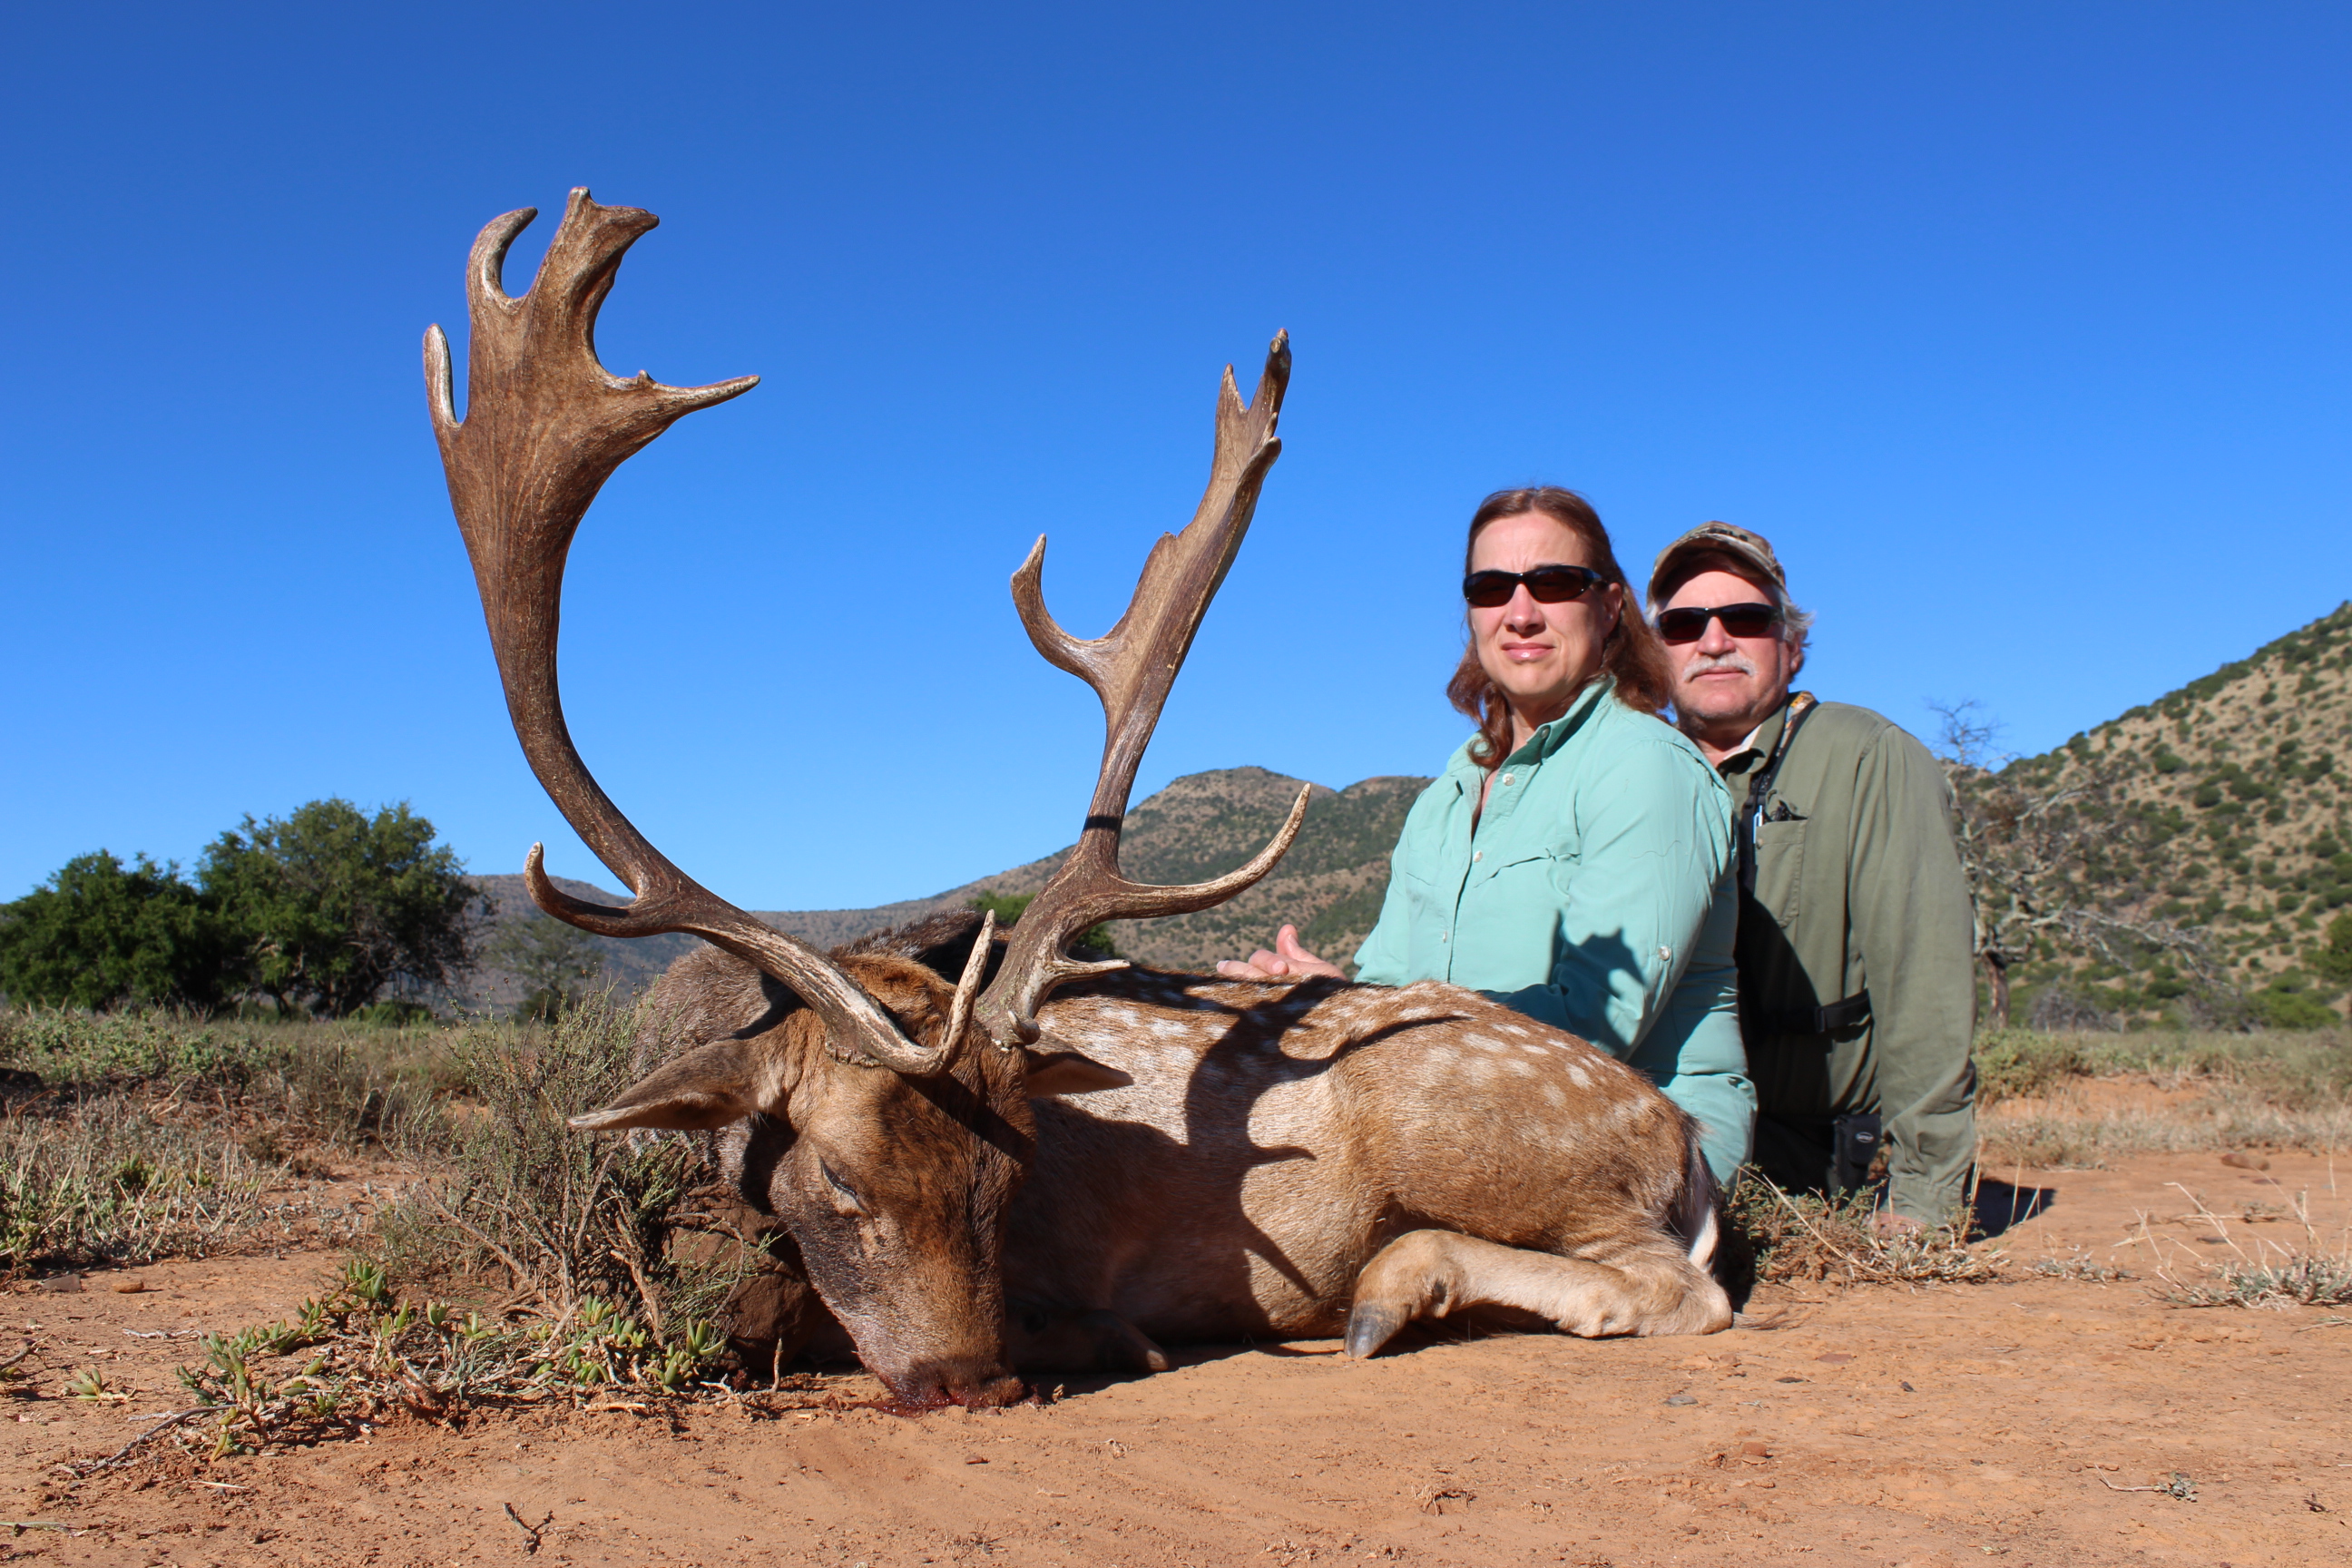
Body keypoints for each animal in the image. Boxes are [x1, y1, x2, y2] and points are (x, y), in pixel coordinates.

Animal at [432, 192, 1740, 1410]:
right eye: (837, 1178)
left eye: (1010, 1182)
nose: (970, 1376)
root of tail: (1678, 1139)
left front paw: (1107, 1335)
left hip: (1489, 1138)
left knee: (1682, 1290)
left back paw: (1390, 1290)